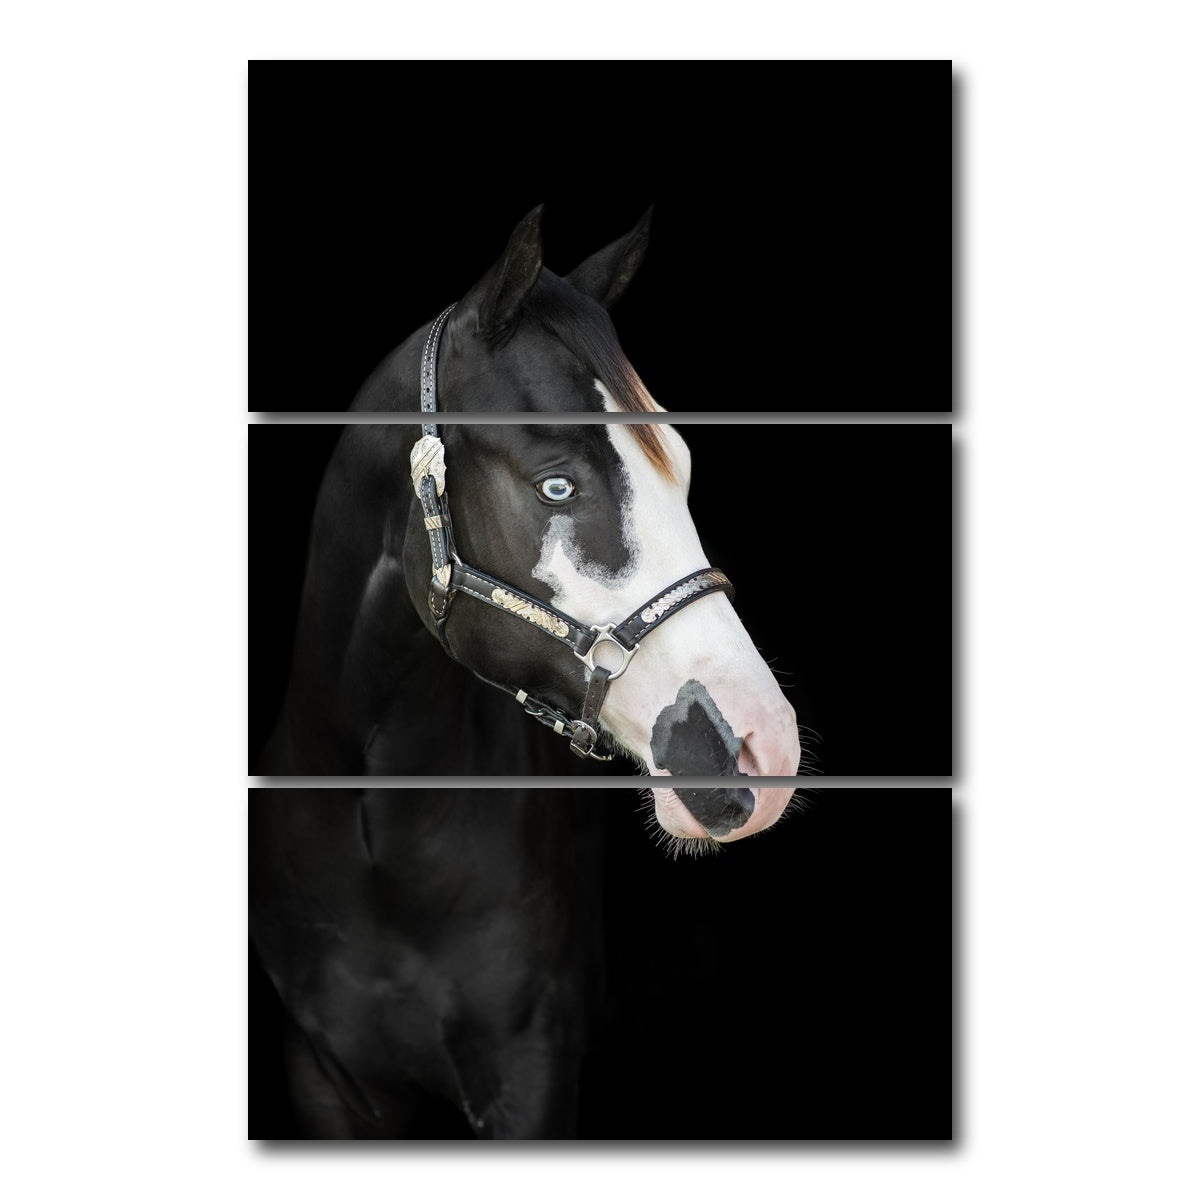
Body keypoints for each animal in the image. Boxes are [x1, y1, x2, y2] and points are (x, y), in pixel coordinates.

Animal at [251, 208, 803, 1138]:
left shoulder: (531, 1072)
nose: (762, 749)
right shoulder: (325, 1077)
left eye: (680, 468)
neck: (376, 831)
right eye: (555, 487)